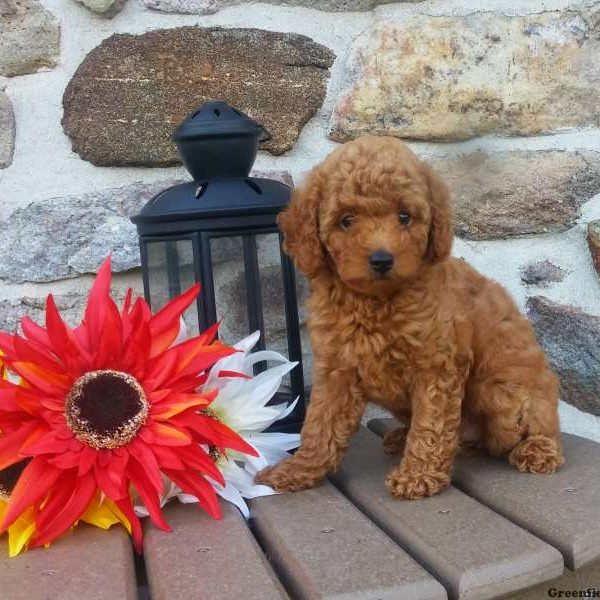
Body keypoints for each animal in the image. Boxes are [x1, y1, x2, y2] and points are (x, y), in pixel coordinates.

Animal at [255, 136, 564, 502]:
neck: (376, 302)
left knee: (537, 428)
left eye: (404, 217)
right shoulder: (337, 368)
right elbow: (319, 423)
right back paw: (403, 437)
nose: (381, 259)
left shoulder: (436, 366)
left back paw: (538, 450)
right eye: (346, 220)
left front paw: (418, 475)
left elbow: (431, 424)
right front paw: (298, 469)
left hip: (502, 396)